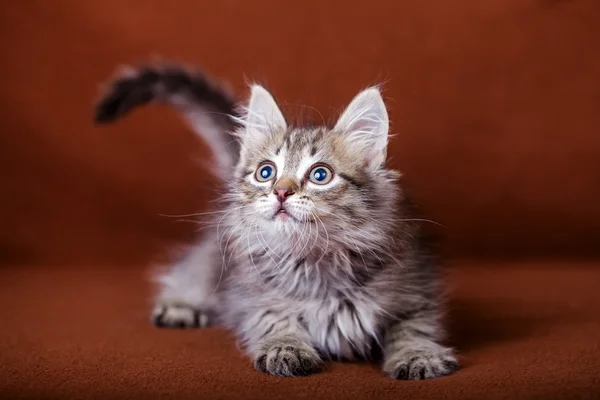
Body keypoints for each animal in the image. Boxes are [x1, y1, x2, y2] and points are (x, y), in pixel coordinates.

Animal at [95, 62, 460, 378]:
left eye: (320, 175)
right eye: (265, 172)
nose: (281, 192)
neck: (316, 263)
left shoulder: (416, 289)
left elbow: (415, 328)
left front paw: (419, 355)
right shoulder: (251, 295)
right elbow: (273, 318)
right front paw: (286, 347)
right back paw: (180, 306)